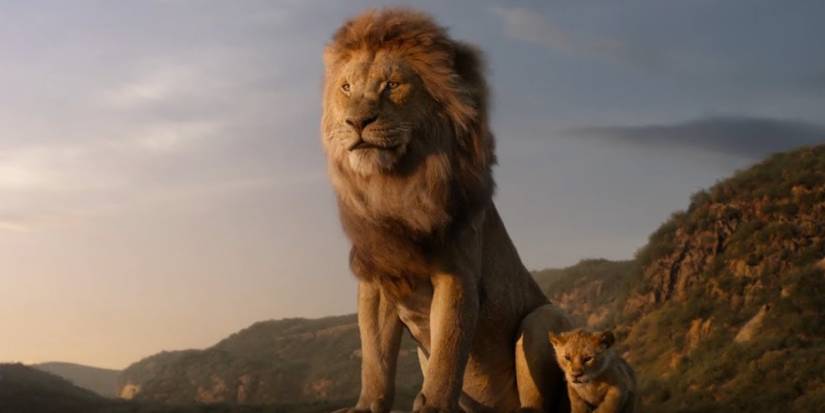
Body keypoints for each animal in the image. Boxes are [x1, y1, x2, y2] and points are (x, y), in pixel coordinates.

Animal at [321, 8, 572, 413]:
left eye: (391, 85)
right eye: (346, 88)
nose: (357, 122)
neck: (395, 187)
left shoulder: (457, 274)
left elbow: (448, 352)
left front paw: (435, 406)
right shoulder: (377, 280)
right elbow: (375, 358)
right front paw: (366, 405)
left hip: (542, 318)